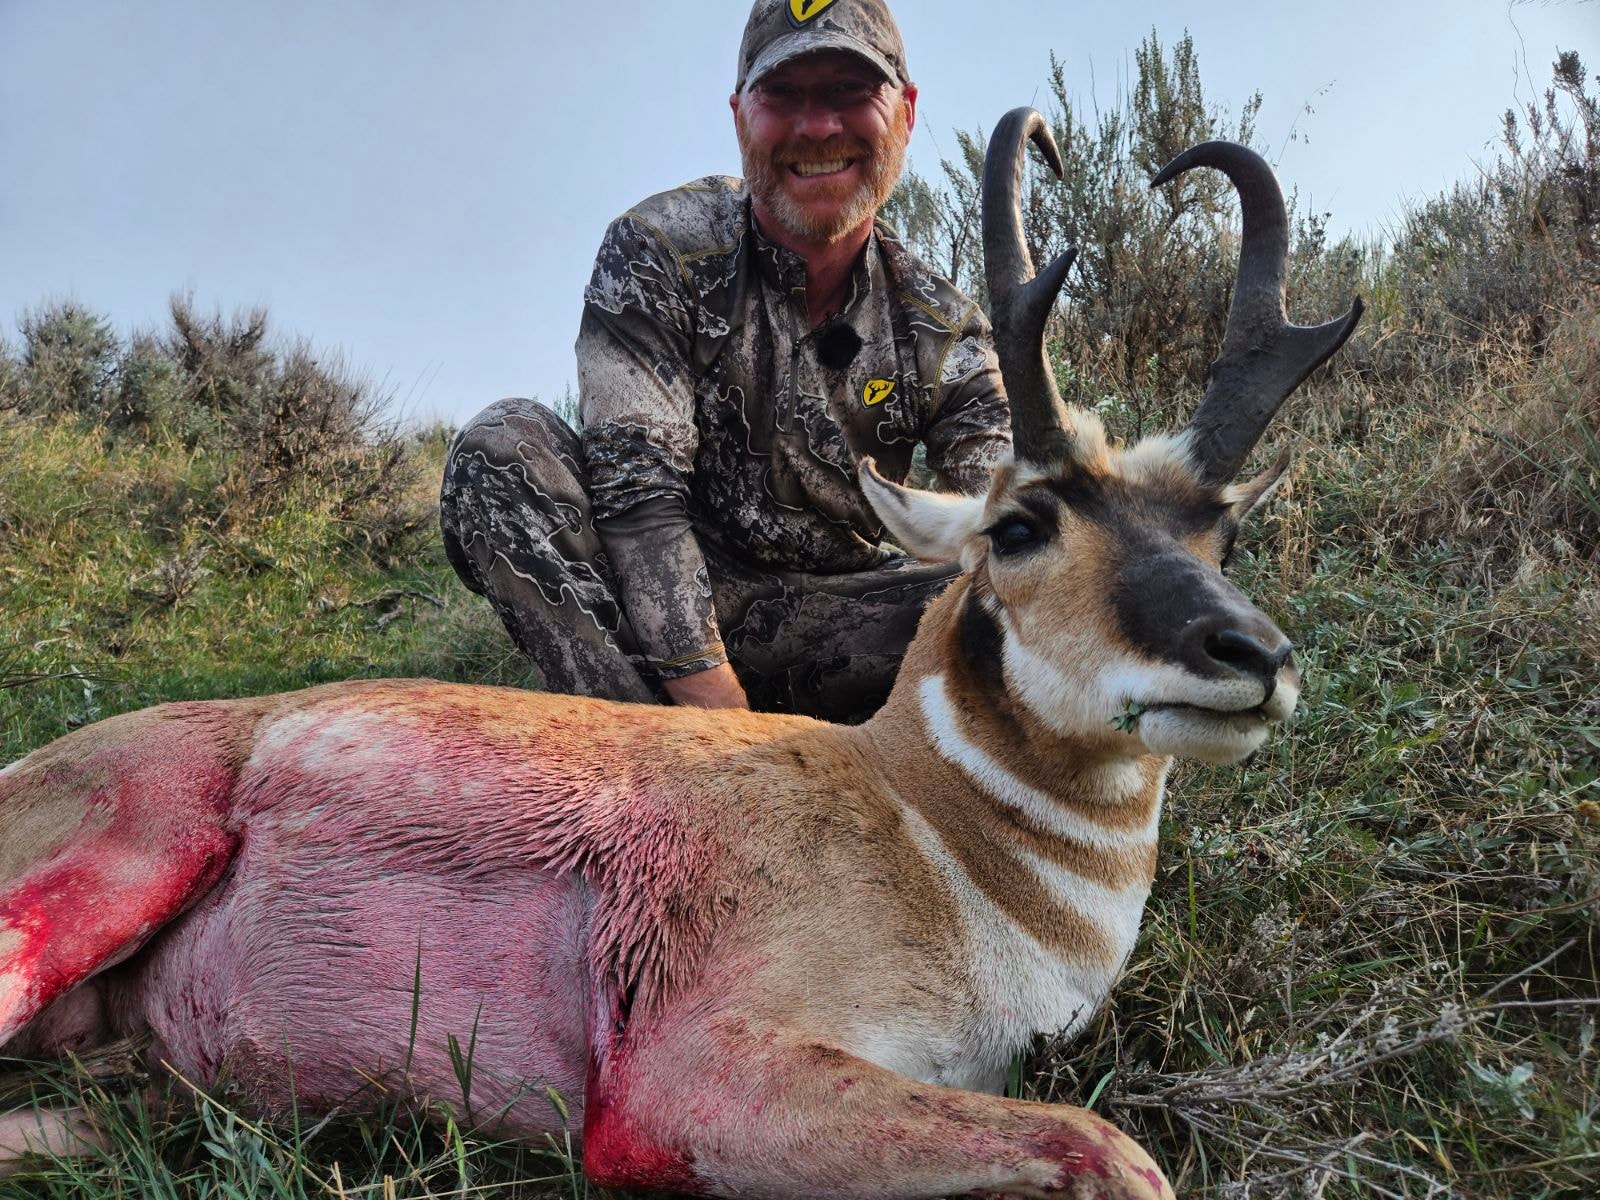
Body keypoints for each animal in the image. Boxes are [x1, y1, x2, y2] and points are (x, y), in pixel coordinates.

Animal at [0, 108, 1359, 1199]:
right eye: (1020, 524)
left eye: (1220, 526)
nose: (1253, 657)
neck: (920, 818)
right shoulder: (695, 1081)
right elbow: (1105, 1148)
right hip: (120, 865)